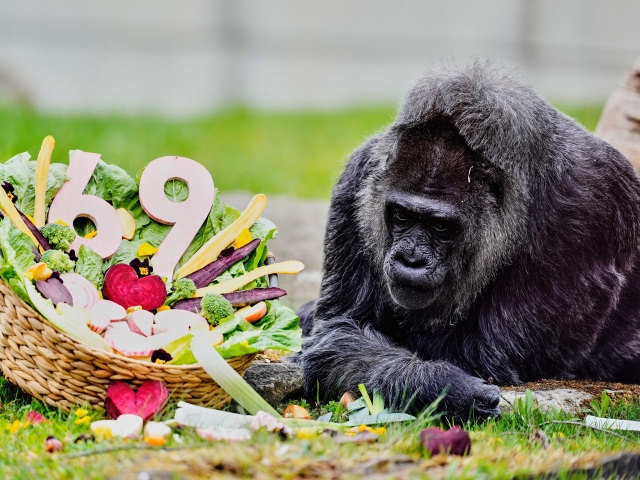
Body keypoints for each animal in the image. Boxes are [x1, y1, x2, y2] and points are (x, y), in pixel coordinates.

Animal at [298, 60, 640, 420]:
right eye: (402, 216)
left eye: (441, 228)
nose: (411, 259)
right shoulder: (358, 178)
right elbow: (340, 330)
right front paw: (442, 386)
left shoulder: (590, 204)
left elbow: (485, 354)